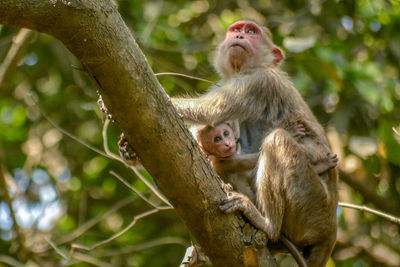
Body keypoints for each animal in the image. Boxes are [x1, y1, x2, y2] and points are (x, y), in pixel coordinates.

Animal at [172, 21, 338, 267]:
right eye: (236, 29)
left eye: (251, 32)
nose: (240, 35)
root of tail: (331, 232)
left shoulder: (258, 80)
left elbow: (209, 111)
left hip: (312, 206)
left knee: (277, 140)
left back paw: (267, 224)